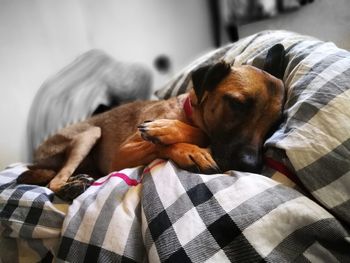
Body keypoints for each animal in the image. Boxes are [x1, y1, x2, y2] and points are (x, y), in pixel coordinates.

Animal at [17, 44, 286, 198]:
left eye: (274, 124)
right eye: (237, 104)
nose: (251, 166)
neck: (188, 113)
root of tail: (35, 158)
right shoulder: (122, 154)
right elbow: (190, 136)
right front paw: (189, 148)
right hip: (90, 133)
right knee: (54, 180)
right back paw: (69, 186)